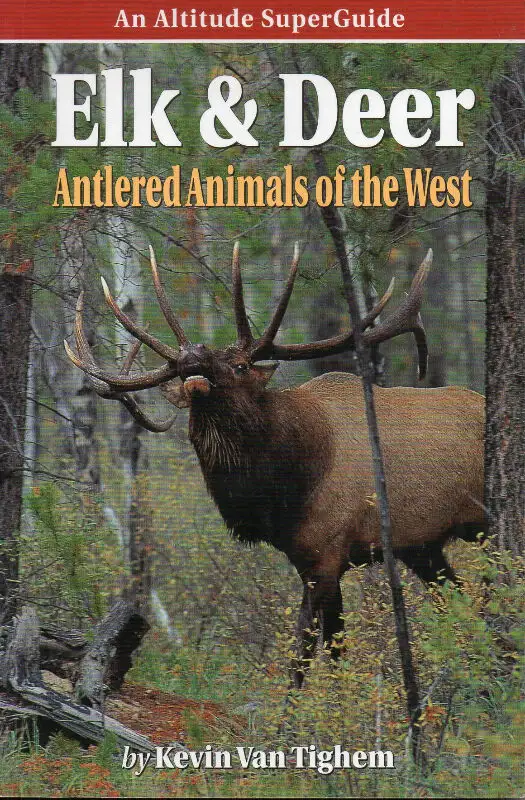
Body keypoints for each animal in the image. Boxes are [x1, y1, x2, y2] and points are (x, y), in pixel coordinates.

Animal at [65, 243, 485, 687]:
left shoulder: (327, 555)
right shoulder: (308, 560)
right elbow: (330, 648)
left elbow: (306, 649)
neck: (287, 490)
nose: (192, 354)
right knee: (459, 598)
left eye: (240, 366)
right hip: (422, 546)